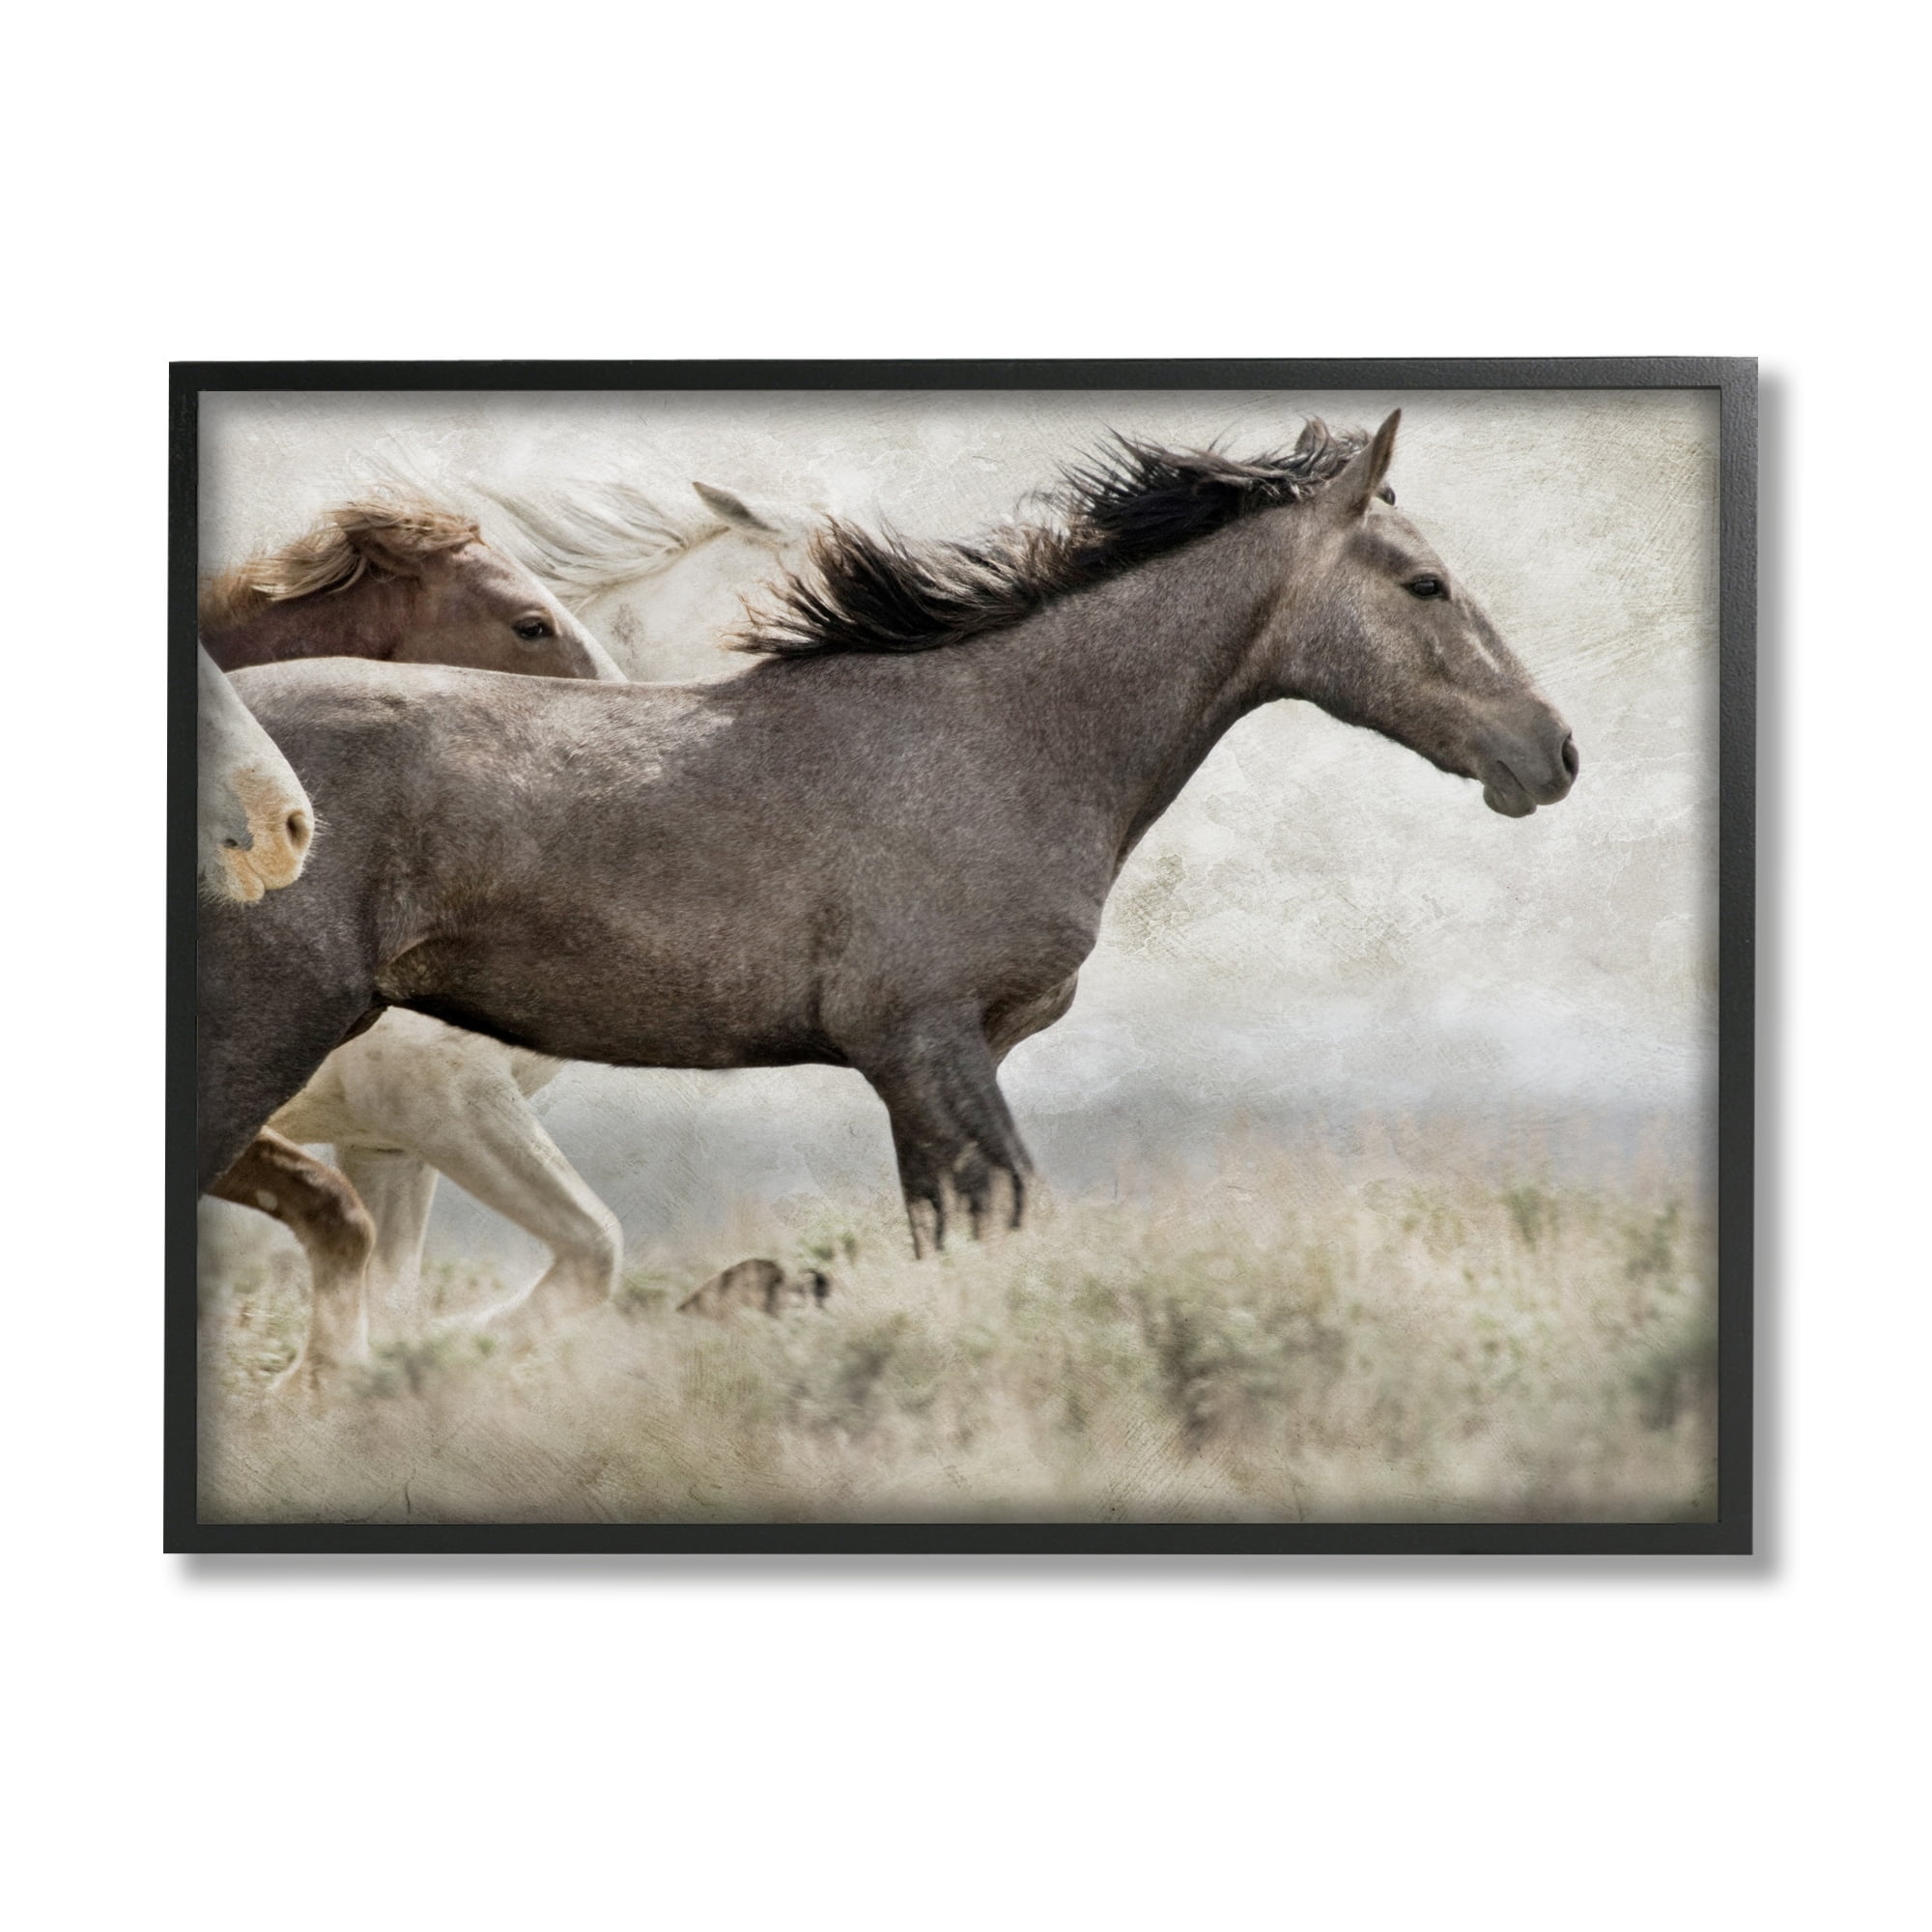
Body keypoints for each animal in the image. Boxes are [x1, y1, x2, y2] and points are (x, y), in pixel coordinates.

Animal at [198, 414, 1578, 1374]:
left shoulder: (927, 1067)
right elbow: (1008, 1219)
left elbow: (949, 1240)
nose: (1551, 751)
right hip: (261, 1042)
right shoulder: (927, 1042)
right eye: (1422, 585)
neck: (994, 735)